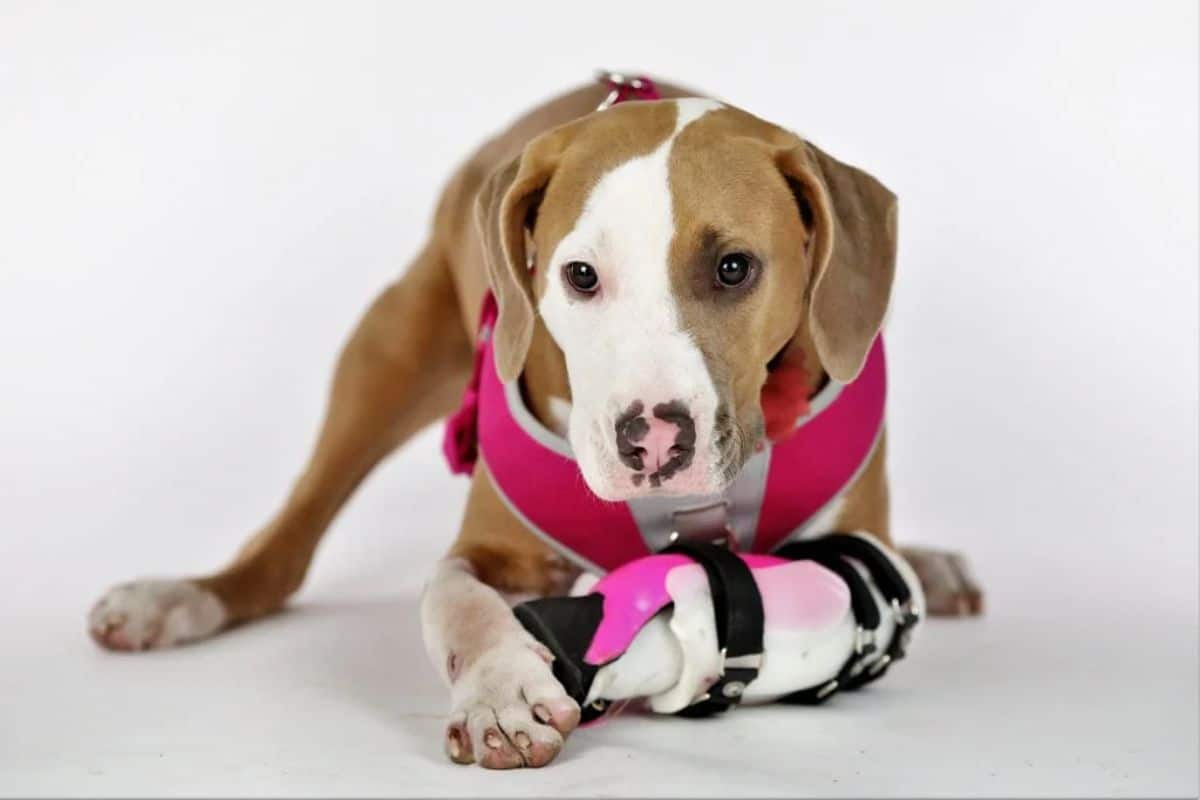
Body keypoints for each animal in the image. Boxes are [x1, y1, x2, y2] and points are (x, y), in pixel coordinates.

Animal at [87, 73, 984, 767]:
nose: (652, 440)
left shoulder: (851, 527)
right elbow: (453, 600)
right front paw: (503, 694)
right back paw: (176, 599)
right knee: (283, 550)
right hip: (386, 352)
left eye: (735, 267)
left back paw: (932, 566)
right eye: (580, 276)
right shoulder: (488, 545)